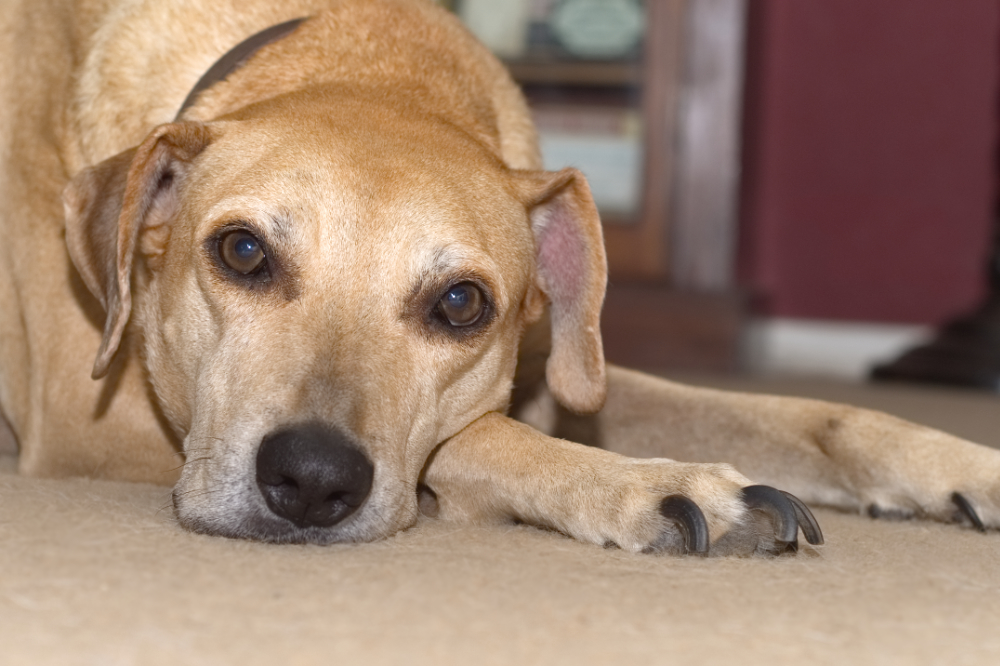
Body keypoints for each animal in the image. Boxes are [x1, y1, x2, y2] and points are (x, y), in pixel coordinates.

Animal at [1, 0, 996, 555]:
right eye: (242, 252)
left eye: (460, 303)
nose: (312, 480)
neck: (375, 62)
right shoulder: (89, 412)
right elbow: (476, 437)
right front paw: (644, 485)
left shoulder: (565, 371)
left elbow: (811, 416)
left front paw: (961, 465)